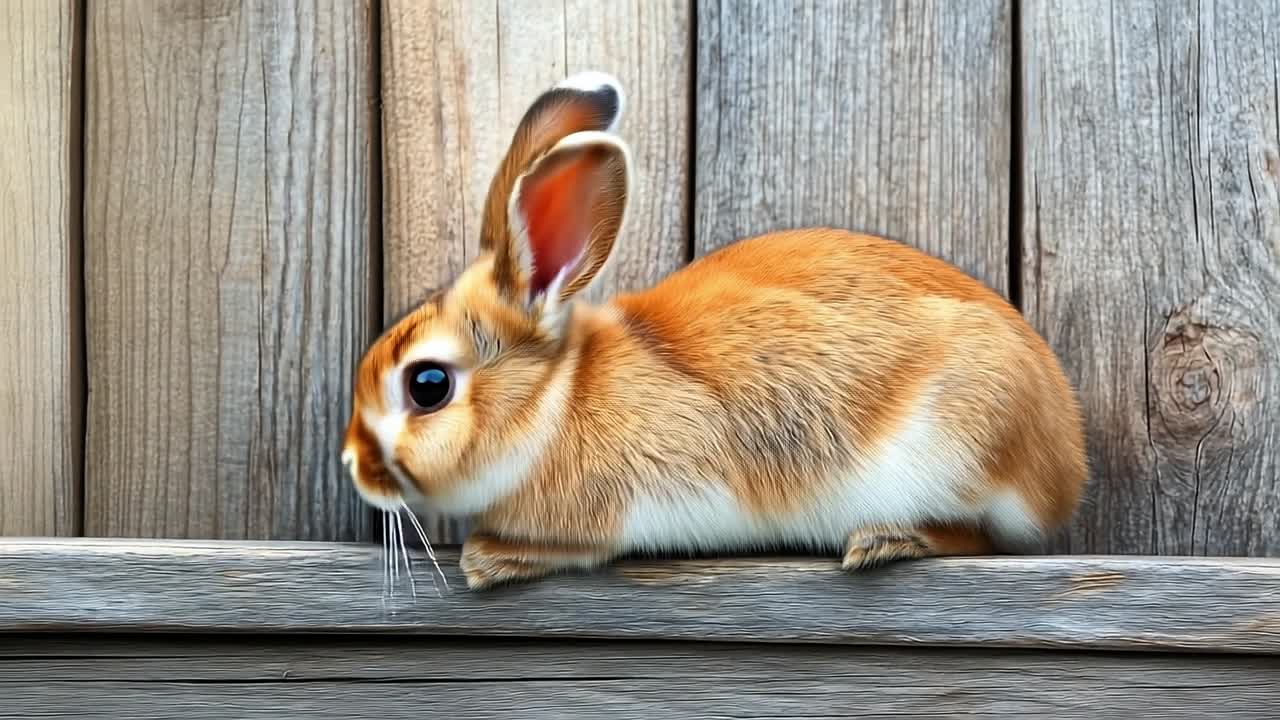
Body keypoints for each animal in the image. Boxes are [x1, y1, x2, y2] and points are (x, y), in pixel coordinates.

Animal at [342, 71, 1088, 591]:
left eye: (428, 384)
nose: (353, 464)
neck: (555, 400)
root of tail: (1065, 461)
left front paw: (494, 560)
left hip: (961, 449)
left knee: (983, 538)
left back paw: (885, 541)